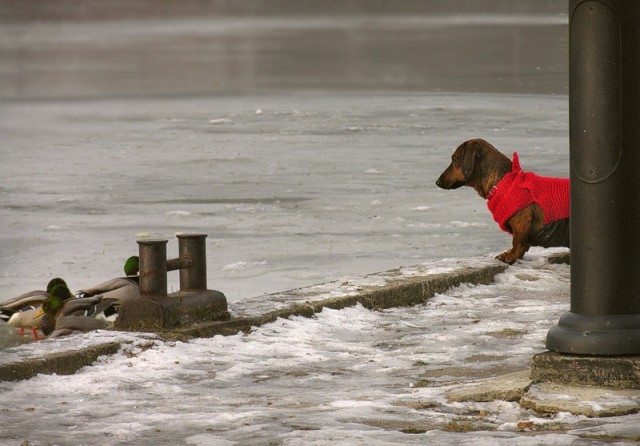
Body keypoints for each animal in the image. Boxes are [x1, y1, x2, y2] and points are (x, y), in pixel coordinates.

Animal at [436, 139, 568, 264]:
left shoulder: (521, 221)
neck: (502, 183)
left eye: (455, 159)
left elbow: (518, 243)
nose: (437, 182)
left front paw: (510, 256)